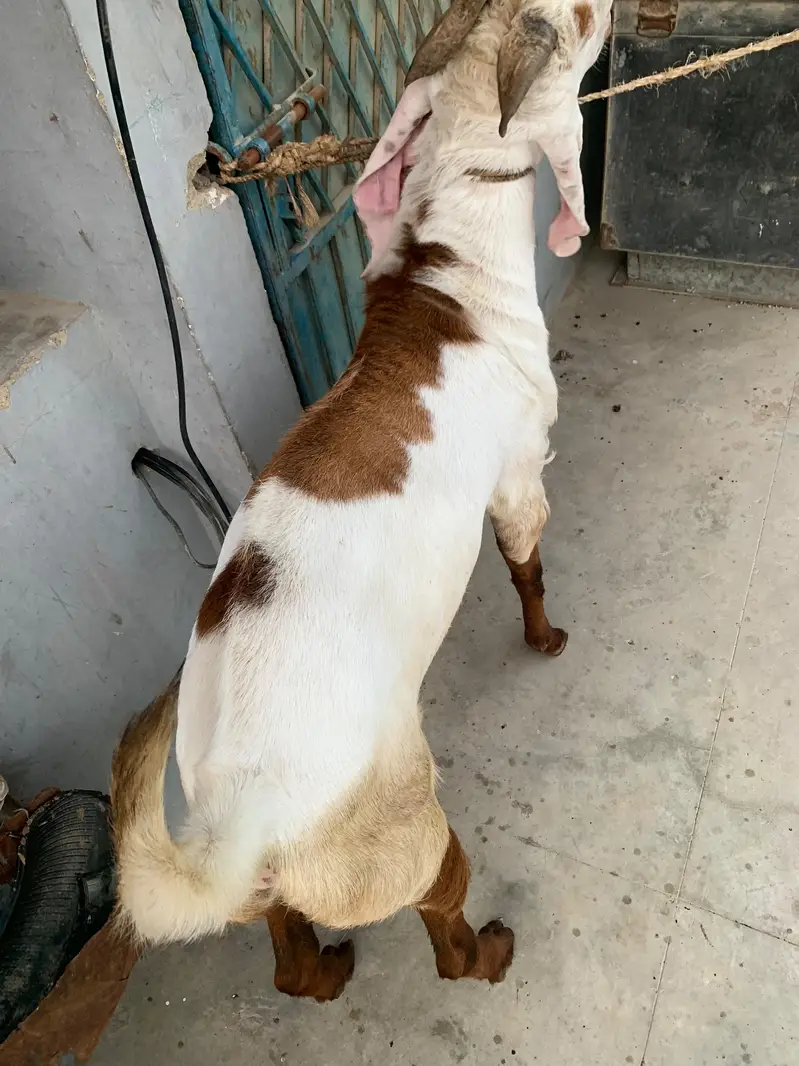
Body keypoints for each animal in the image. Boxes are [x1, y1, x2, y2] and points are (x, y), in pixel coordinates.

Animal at [111, 0, 611, 1002]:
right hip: (410, 835)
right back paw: (490, 951)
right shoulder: (519, 480)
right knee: (445, 937)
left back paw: (327, 973)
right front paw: (545, 640)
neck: (447, 272)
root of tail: (231, 832)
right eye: (569, 24)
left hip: (283, 889)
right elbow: (527, 568)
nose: (613, 10)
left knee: (287, 960)